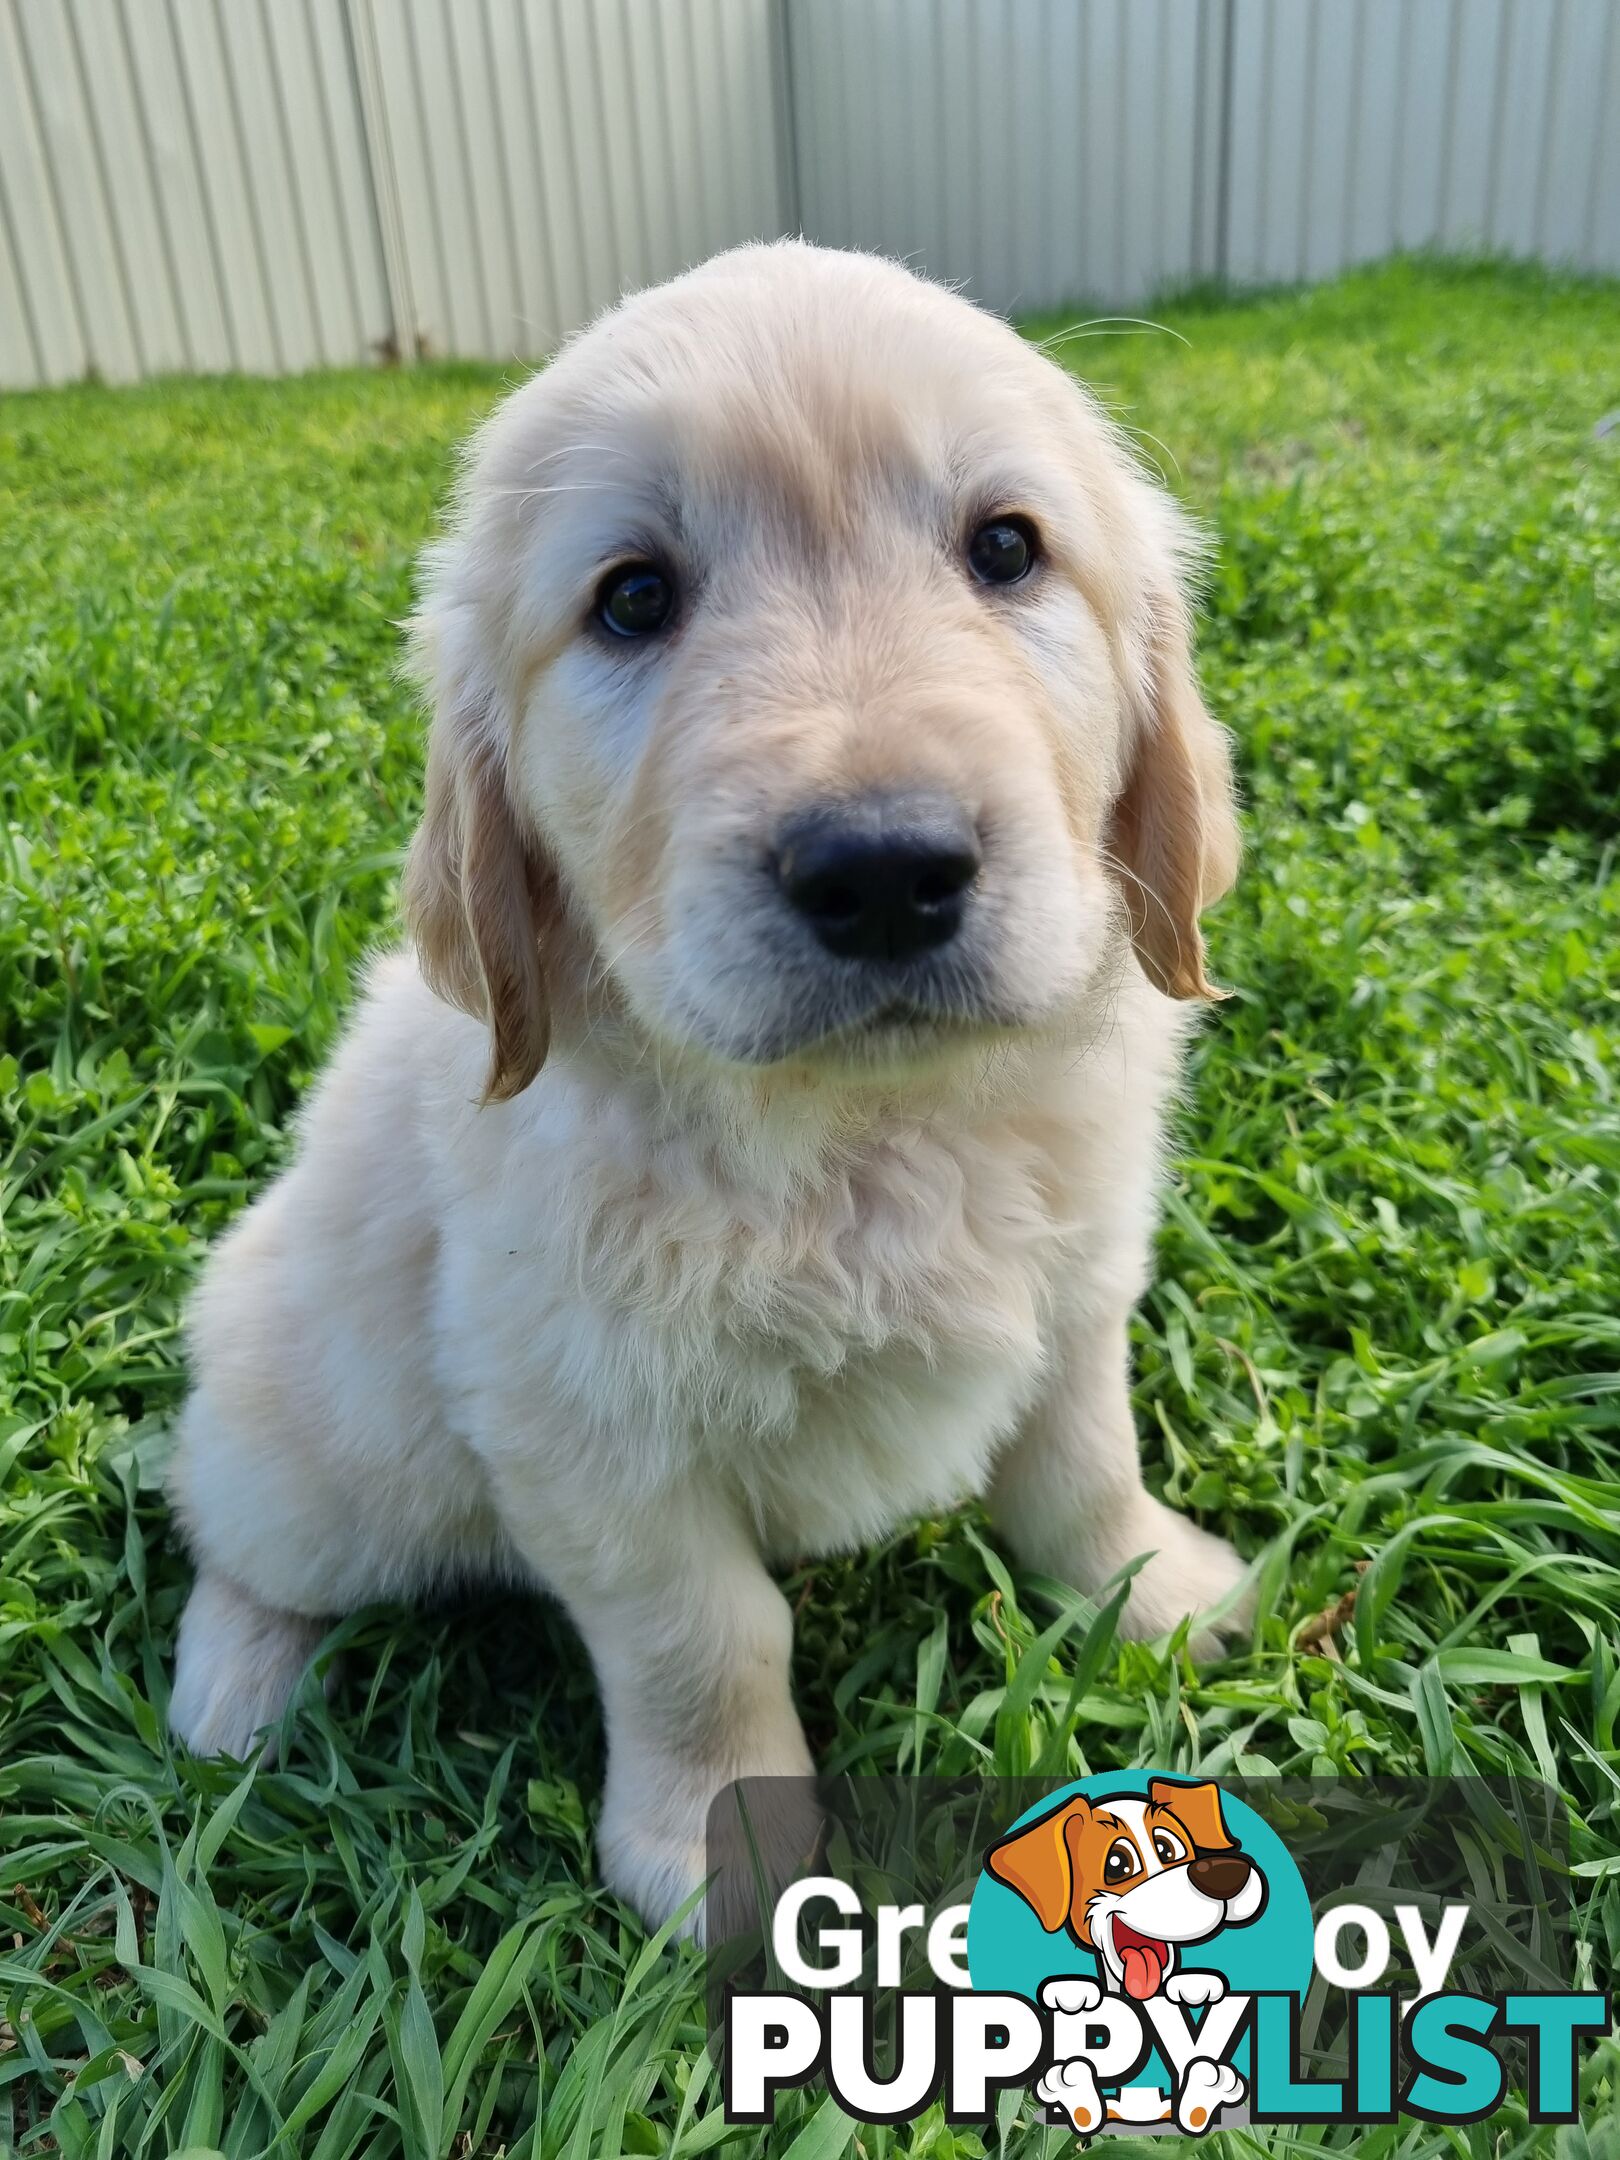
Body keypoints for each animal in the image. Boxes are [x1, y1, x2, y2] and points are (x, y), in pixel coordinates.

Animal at [165, 245, 1252, 1935]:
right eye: (632, 599)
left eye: (1006, 548)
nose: (884, 869)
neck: (863, 1131)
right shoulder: (586, 1423)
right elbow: (706, 1633)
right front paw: (716, 1848)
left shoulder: (1075, 1294)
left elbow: (1086, 1467)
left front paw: (1159, 1598)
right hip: (323, 1447)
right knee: (234, 1527)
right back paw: (231, 1686)